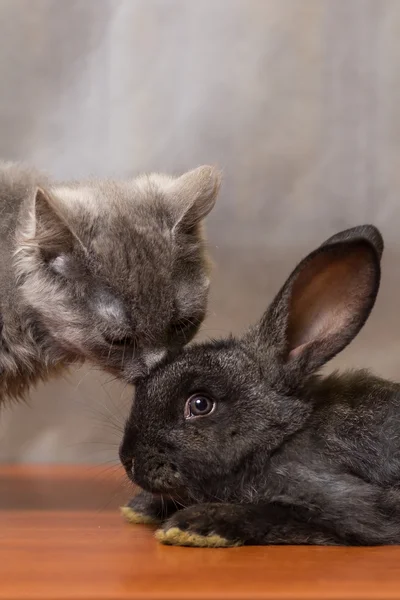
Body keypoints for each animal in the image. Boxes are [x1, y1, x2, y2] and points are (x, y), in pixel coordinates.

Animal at [119, 226, 400, 548]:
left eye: (200, 404)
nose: (128, 460)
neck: (279, 437)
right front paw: (141, 507)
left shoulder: (344, 506)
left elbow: (270, 513)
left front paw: (191, 526)